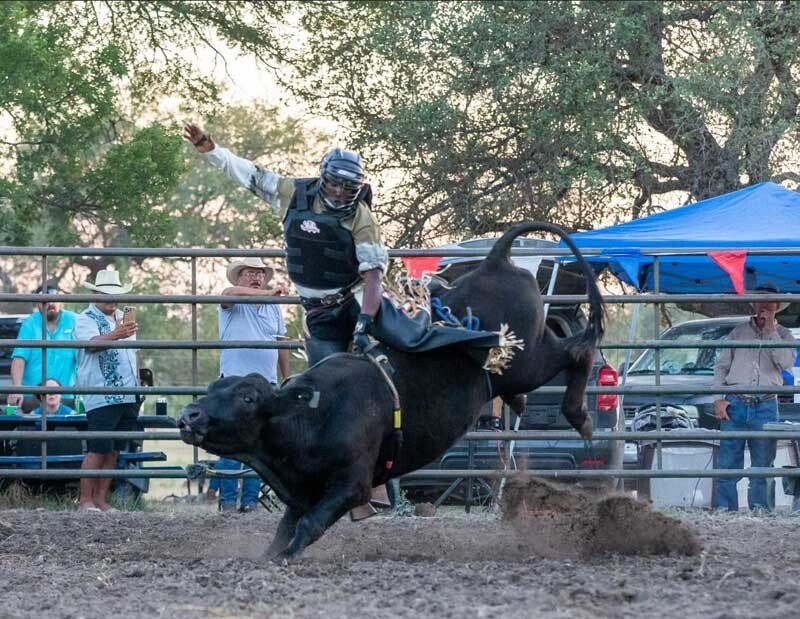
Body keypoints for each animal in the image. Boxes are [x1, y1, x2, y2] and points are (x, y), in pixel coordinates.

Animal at [179, 221, 604, 562]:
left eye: (248, 397)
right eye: (215, 385)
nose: (189, 415)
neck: (309, 415)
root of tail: (494, 263)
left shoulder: (352, 486)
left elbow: (309, 525)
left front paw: (288, 556)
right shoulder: (299, 493)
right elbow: (285, 528)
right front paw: (270, 555)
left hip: (524, 360)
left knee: (577, 352)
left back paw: (580, 417)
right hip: (520, 365)